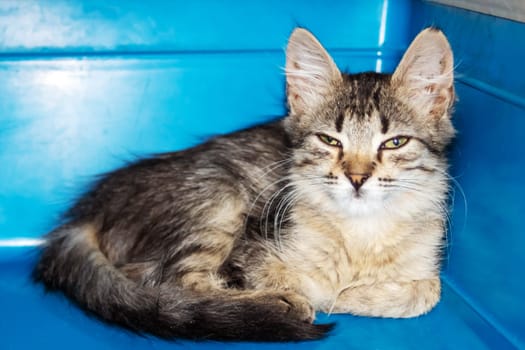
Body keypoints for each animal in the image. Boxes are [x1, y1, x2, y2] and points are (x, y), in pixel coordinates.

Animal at [34, 28, 454, 342]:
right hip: (217, 198)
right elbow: (309, 284)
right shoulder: (254, 243)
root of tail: (89, 210)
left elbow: (428, 290)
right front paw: (325, 295)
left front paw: (353, 294)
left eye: (395, 142)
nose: (356, 178)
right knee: (170, 284)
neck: (361, 235)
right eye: (330, 141)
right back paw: (273, 305)